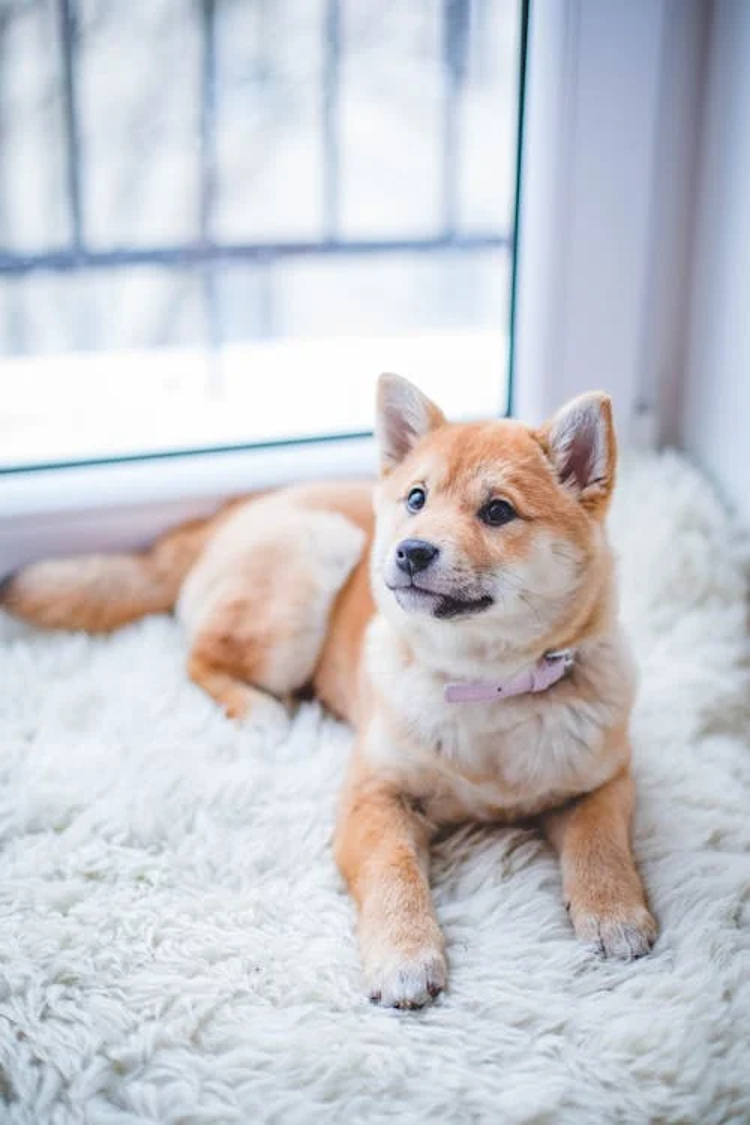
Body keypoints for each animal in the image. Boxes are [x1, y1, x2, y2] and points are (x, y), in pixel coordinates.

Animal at [0, 373, 653, 1008]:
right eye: (417, 499)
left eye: (497, 511)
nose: (411, 551)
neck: (483, 688)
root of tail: (234, 509)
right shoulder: (375, 793)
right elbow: (394, 873)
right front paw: (405, 955)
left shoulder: (604, 779)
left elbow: (600, 843)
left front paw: (614, 911)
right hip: (311, 563)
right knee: (199, 658)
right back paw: (261, 710)